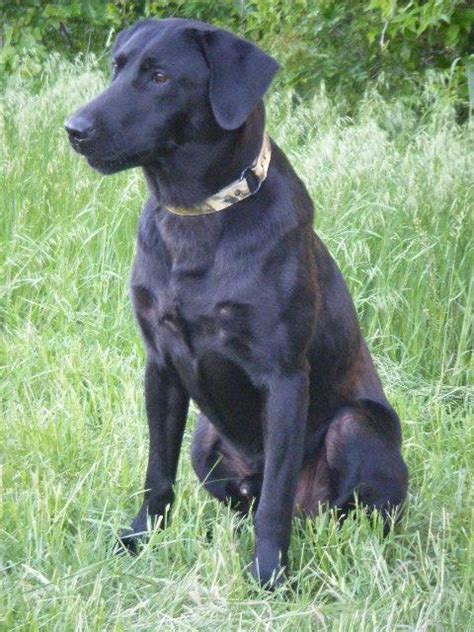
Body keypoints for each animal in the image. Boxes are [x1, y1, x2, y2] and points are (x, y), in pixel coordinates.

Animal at [65, 17, 410, 588]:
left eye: (160, 77)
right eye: (117, 67)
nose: (74, 129)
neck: (197, 216)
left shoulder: (285, 377)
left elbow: (274, 501)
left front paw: (269, 574)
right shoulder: (160, 367)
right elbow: (157, 473)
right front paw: (139, 540)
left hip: (355, 428)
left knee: (338, 509)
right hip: (205, 441)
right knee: (241, 499)